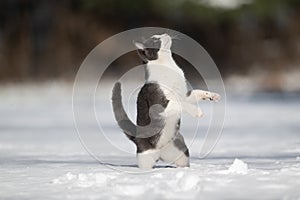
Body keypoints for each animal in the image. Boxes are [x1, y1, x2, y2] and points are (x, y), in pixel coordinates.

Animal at [111, 33, 219, 169]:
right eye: (155, 39)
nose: (165, 34)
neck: (168, 65)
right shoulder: (158, 105)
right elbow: (180, 103)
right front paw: (197, 112)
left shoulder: (184, 95)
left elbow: (195, 93)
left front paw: (212, 96)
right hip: (145, 158)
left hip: (181, 152)